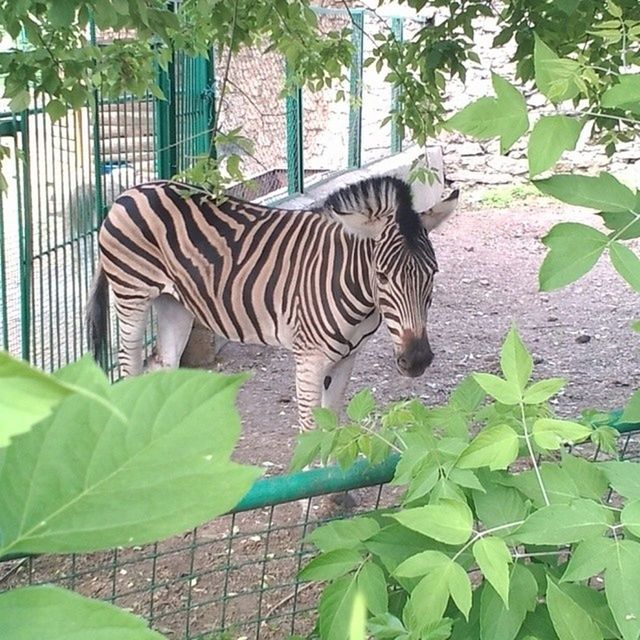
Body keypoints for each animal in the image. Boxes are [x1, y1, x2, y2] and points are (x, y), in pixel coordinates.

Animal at [87, 175, 458, 430]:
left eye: (433, 272)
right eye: (381, 276)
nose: (417, 359)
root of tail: (129, 192)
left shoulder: (348, 356)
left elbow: (332, 418)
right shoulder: (310, 356)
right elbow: (311, 426)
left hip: (173, 303)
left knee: (162, 363)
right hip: (131, 292)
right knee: (129, 364)